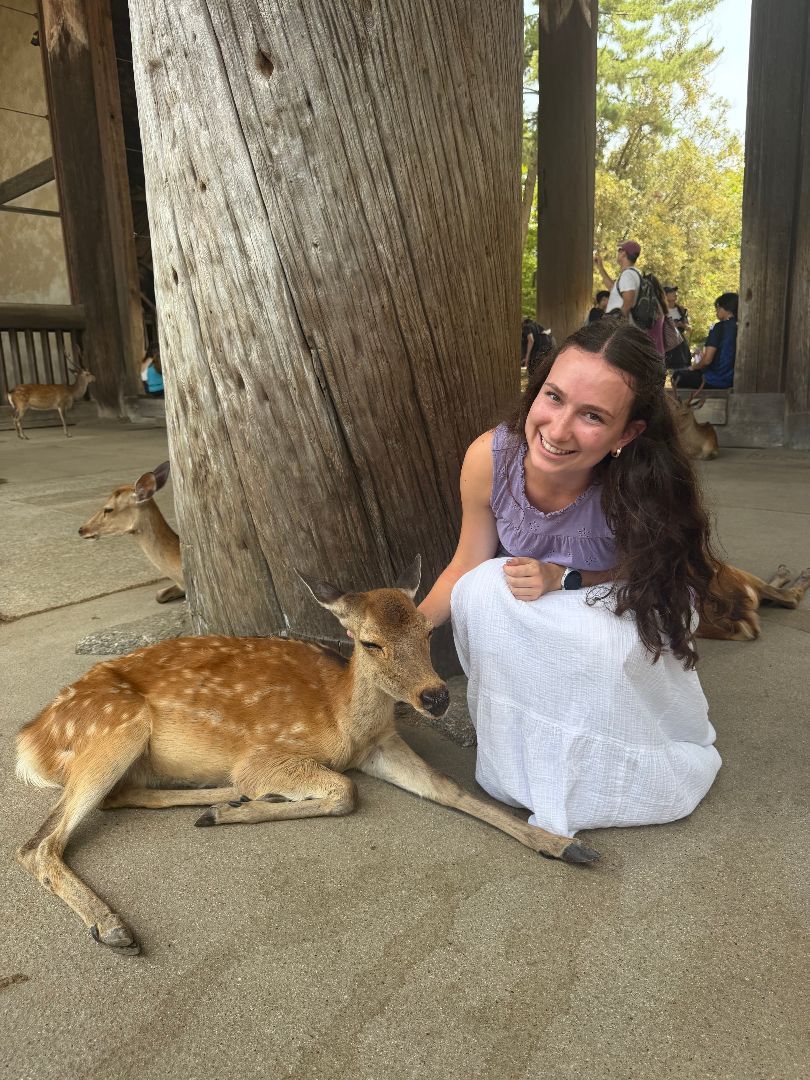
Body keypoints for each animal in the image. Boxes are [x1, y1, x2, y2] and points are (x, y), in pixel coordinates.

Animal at [15, 557, 598, 956]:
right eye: (370, 642)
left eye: (428, 628)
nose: (435, 697)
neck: (342, 721)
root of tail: (30, 741)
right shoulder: (266, 752)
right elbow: (344, 790)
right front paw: (246, 806)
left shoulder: (381, 747)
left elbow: (448, 788)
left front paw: (562, 844)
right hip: (115, 728)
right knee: (38, 844)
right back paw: (115, 925)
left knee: (116, 798)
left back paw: (221, 800)